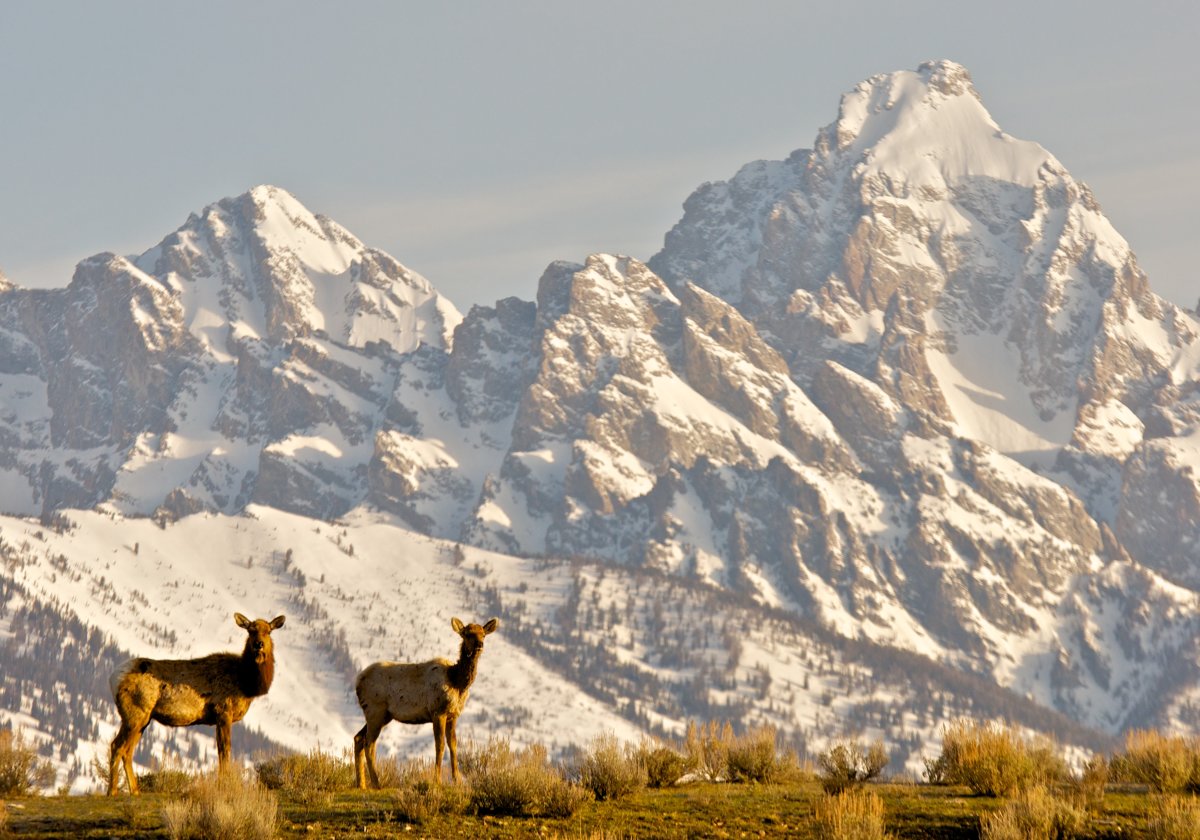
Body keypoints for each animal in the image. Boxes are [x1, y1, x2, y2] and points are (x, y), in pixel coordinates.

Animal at [107, 612, 285, 795]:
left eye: (268, 631)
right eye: (250, 630)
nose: (259, 644)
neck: (246, 684)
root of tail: (113, 678)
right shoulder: (223, 711)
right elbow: (224, 750)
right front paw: (223, 784)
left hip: (143, 719)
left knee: (127, 751)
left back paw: (135, 791)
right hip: (134, 713)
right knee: (116, 746)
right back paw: (112, 792)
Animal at [353, 616, 499, 787]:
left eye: (483, 634)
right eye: (467, 634)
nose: (479, 645)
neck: (456, 681)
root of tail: (357, 682)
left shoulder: (453, 715)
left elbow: (453, 744)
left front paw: (457, 780)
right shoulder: (437, 711)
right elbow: (440, 745)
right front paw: (437, 780)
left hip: (381, 715)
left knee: (359, 738)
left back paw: (361, 784)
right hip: (375, 710)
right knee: (369, 743)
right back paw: (377, 784)